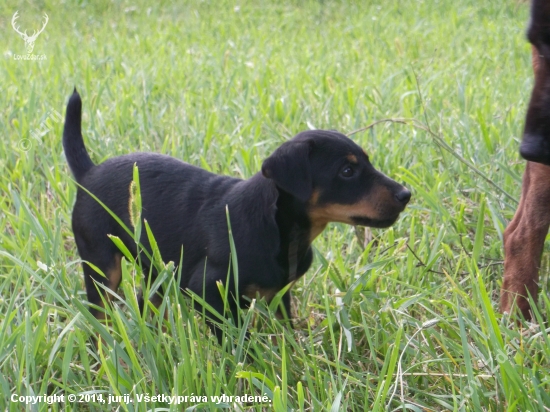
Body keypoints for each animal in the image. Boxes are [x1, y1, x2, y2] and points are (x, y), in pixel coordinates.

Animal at [62, 90, 412, 342]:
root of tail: (89, 173)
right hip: (101, 266)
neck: (281, 230)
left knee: (146, 299)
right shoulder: (208, 292)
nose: (406, 195)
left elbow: (286, 330)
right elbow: (234, 343)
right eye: (347, 171)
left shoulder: (279, 295)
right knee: (101, 312)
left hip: (161, 267)